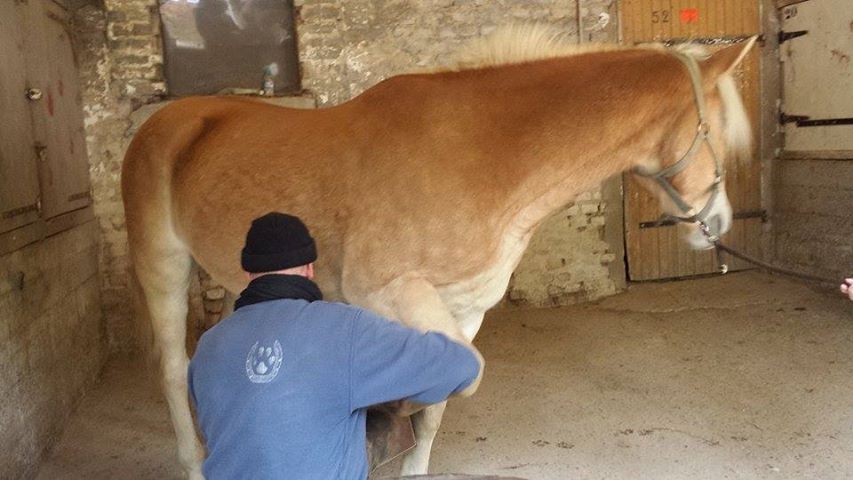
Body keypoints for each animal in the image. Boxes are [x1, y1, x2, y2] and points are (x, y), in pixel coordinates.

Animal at [121, 26, 755, 478]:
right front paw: (377, 424)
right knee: (176, 371)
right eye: (719, 131)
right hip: (164, 268)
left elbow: (447, 391)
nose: (718, 222)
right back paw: (195, 460)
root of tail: (167, 120)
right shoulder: (380, 295)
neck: (481, 157)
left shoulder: (463, 310)